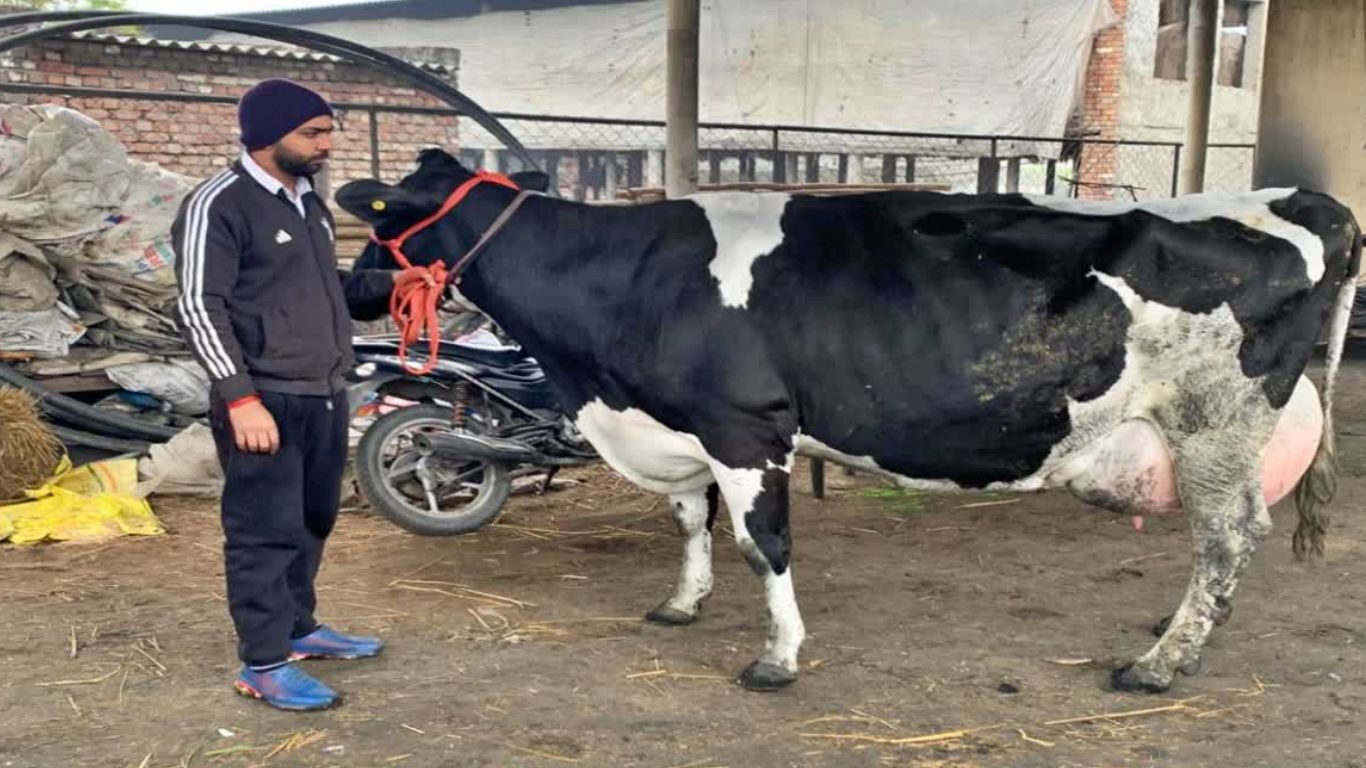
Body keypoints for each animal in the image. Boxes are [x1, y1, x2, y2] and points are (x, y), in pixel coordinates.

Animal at [338, 149, 1361, 694]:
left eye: (383, 218)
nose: (352, 292)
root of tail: (1298, 198)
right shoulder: (683, 431)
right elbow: (687, 523)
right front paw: (681, 604)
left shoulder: (747, 427)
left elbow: (763, 547)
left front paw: (778, 658)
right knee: (1221, 547)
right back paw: (1181, 627)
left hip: (1214, 418)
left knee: (1228, 536)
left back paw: (1160, 662)